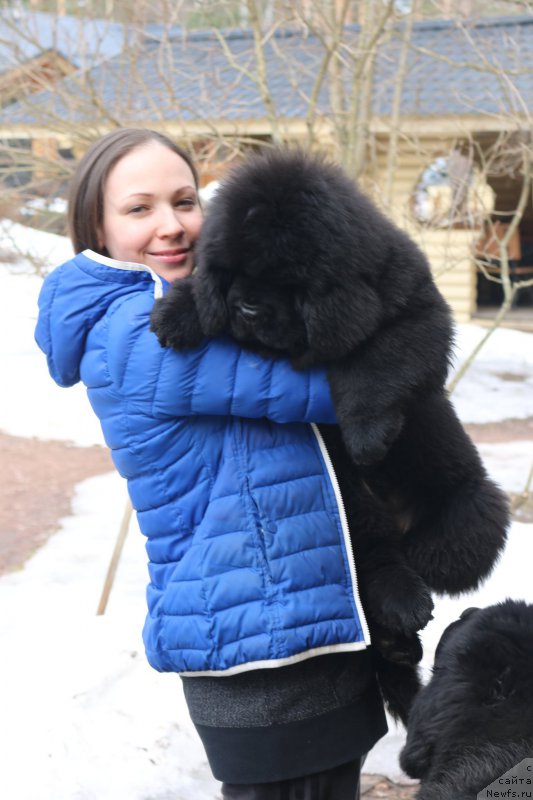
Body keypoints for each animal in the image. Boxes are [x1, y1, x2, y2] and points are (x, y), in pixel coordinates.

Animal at [152, 148, 510, 720]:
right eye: (235, 273)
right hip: (356, 509)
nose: (246, 307)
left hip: (473, 512)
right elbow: (202, 294)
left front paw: (366, 435)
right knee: (373, 562)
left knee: (423, 563)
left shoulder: (414, 315)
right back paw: (397, 626)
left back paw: (407, 614)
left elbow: (374, 364)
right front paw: (178, 310)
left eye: (286, 279)